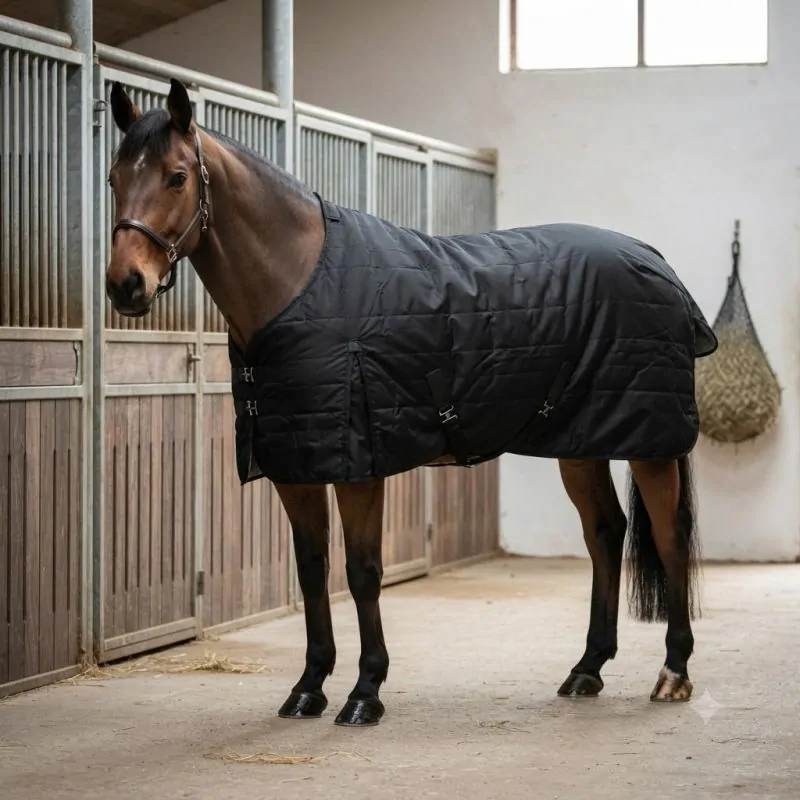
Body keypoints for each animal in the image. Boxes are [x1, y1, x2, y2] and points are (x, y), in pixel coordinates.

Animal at [104, 77, 717, 728]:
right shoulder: (297, 464)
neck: (300, 284)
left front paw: (364, 693)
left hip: (649, 443)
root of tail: (654, 259)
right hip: (581, 443)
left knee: (669, 536)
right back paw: (586, 670)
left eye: (176, 177)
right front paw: (308, 687)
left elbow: (363, 572)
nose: (126, 285)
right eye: (114, 178)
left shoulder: (358, 465)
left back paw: (673, 673)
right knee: (605, 532)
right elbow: (312, 570)